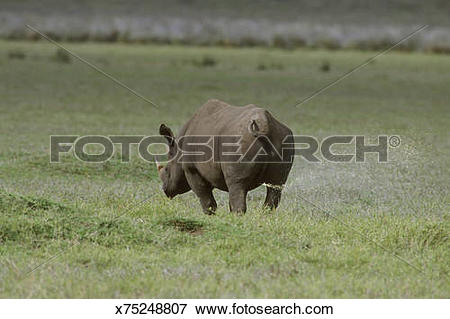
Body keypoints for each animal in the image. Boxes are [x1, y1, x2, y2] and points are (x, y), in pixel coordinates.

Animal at [156, 99, 294, 214]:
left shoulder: (192, 170)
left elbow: (206, 200)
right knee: (275, 186)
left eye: (167, 170)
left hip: (237, 141)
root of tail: (265, 124)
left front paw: (211, 217)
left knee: (237, 185)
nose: (165, 190)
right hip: (283, 137)